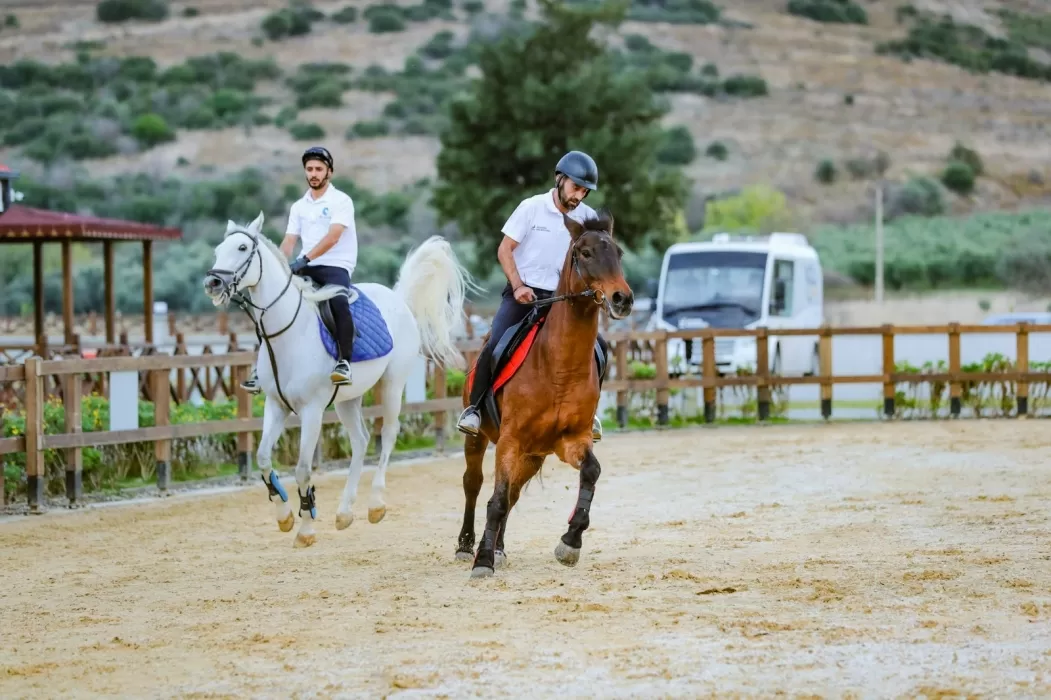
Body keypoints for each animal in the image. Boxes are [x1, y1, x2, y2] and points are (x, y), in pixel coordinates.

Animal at [201, 210, 472, 546]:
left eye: (241, 248)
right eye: (218, 250)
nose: (212, 283)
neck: (287, 334)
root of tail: (397, 299)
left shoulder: (312, 410)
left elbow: (303, 470)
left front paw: (306, 527)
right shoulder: (276, 405)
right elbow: (263, 459)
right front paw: (284, 515)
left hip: (392, 385)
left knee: (388, 435)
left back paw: (375, 505)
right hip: (347, 399)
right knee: (361, 441)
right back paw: (344, 512)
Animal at [454, 208, 630, 575]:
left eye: (618, 253)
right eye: (585, 253)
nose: (623, 299)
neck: (558, 366)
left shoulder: (570, 440)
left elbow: (591, 471)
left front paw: (570, 542)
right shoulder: (509, 440)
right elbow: (495, 498)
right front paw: (483, 562)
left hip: (533, 455)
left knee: (513, 495)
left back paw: (499, 548)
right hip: (480, 440)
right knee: (474, 485)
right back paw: (466, 547)